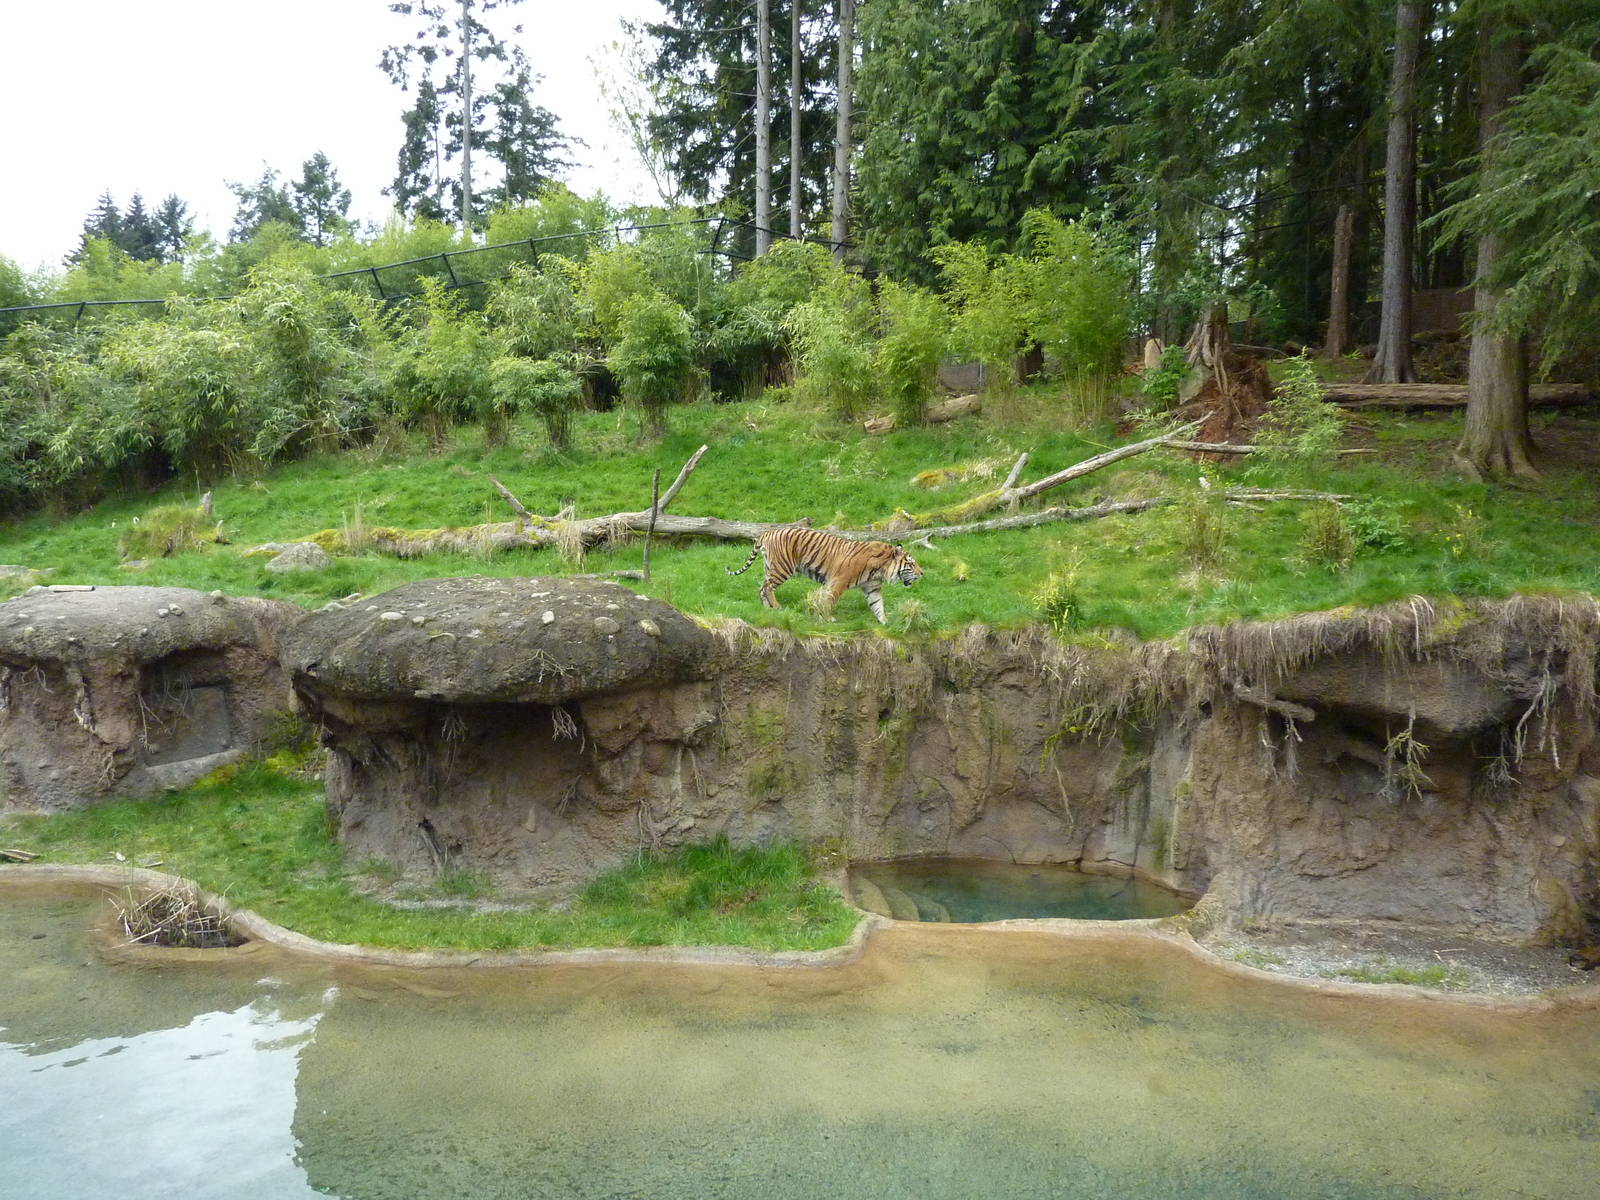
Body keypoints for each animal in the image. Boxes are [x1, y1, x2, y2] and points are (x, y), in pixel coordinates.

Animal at [727, 526, 923, 624]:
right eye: (912, 563)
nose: (923, 573)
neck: (881, 569)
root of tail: (768, 532)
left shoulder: (872, 587)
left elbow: (878, 605)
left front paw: (886, 623)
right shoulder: (839, 581)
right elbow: (830, 600)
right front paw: (829, 618)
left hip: (770, 567)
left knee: (762, 587)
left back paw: (767, 608)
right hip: (783, 568)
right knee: (767, 587)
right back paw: (776, 606)